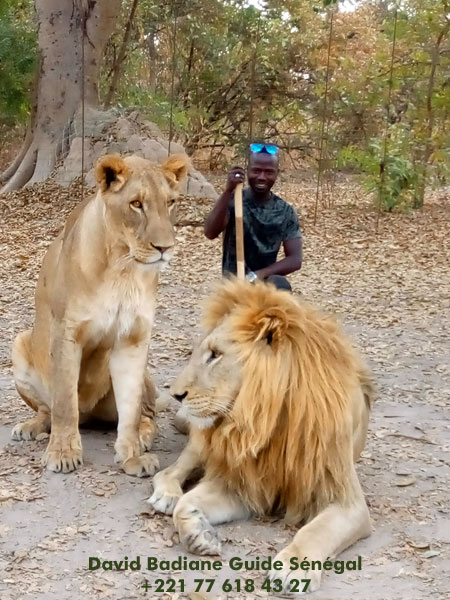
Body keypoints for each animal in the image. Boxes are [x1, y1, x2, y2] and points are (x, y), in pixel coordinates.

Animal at [10, 152, 189, 476]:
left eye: (170, 202)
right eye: (136, 203)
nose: (165, 248)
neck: (123, 268)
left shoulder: (133, 339)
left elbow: (129, 410)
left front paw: (132, 456)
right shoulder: (67, 333)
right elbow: (64, 403)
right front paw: (63, 453)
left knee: (146, 414)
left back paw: (144, 437)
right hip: (19, 343)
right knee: (49, 409)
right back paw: (31, 427)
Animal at [149, 278, 374, 592]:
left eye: (215, 355)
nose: (176, 394)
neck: (266, 423)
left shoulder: (347, 499)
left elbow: (315, 531)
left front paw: (294, 568)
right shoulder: (244, 484)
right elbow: (185, 503)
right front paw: (200, 533)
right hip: (201, 443)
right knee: (171, 472)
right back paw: (166, 494)